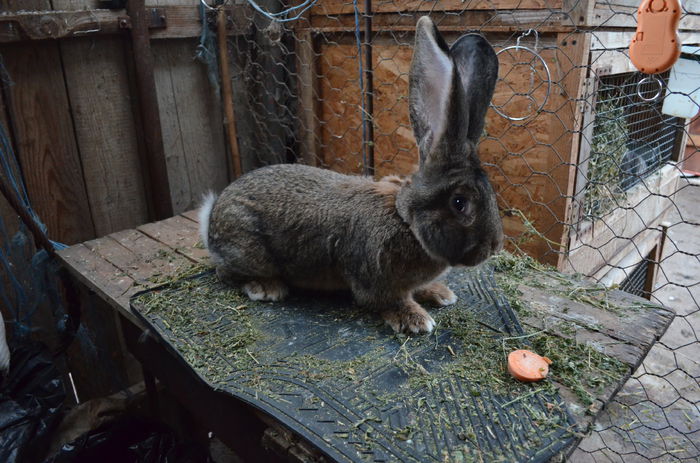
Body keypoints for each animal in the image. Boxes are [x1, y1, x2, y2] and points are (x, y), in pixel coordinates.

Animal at [198, 18, 504, 336]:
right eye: (459, 203)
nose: (493, 246)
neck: (406, 220)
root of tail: (212, 220)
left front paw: (440, 293)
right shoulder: (376, 280)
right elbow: (387, 300)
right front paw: (416, 320)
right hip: (249, 250)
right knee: (225, 272)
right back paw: (265, 288)